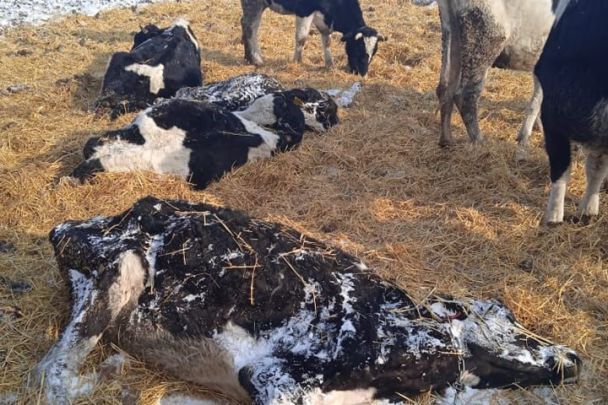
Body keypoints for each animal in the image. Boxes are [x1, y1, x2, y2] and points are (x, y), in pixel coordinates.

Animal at [239, 0, 384, 76]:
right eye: (359, 49)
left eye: (374, 53)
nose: (362, 74)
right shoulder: (304, 10)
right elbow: (301, 38)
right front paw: (297, 62)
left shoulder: (324, 20)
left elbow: (327, 41)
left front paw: (329, 64)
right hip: (252, 3)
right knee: (250, 27)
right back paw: (257, 59)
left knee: (246, 24)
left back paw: (248, 58)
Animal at [434, 0, 560, 155]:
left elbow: (538, 100)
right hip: (485, 41)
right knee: (465, 96)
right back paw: (481, 142)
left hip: (452, 35)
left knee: (444, 88)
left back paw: (446, 140)